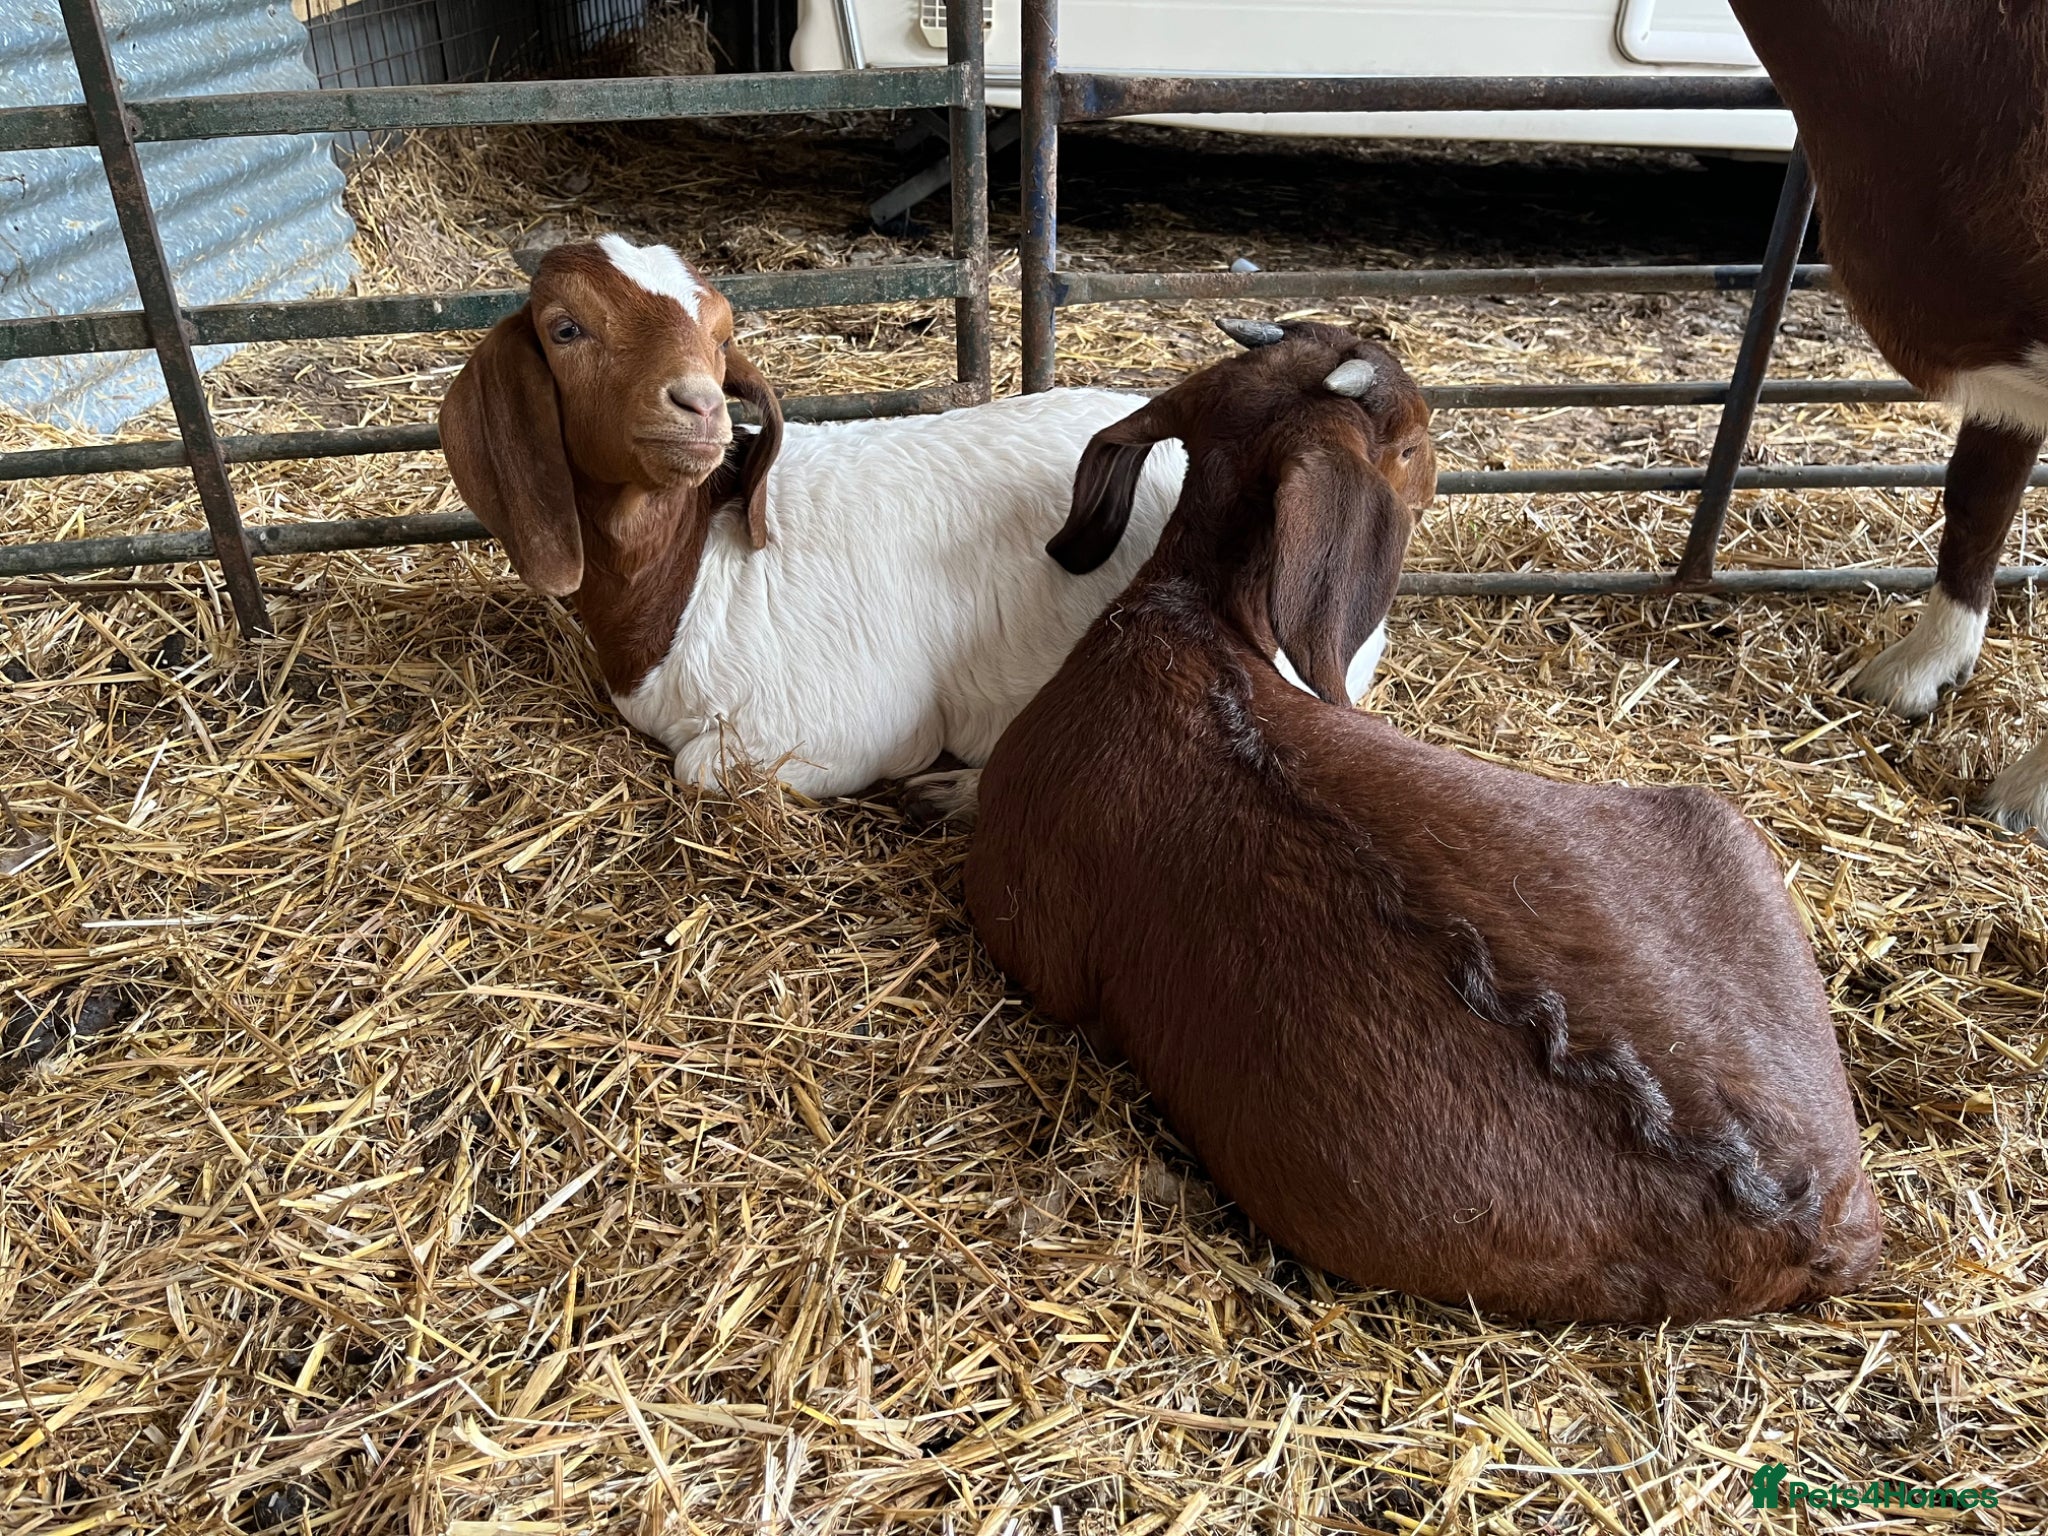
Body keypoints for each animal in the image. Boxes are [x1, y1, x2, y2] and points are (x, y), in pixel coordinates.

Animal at [438, 236, 1194, 811]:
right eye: (564, 328)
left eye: (722, 338)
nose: (700, 406)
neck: (689, 570)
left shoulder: (841, 725)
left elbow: (696, 766)